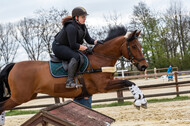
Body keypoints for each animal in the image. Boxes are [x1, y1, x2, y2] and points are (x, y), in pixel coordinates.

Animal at [0, 26, 148, 114]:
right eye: (134, 46)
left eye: (140, 46)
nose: (144, 66)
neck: (100, 58)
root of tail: (14, 65)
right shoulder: (103, 86)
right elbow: (128, 82)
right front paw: (139, 100)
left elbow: (130, 83)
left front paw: (141, 100)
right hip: (19, 97)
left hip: (28, 95)